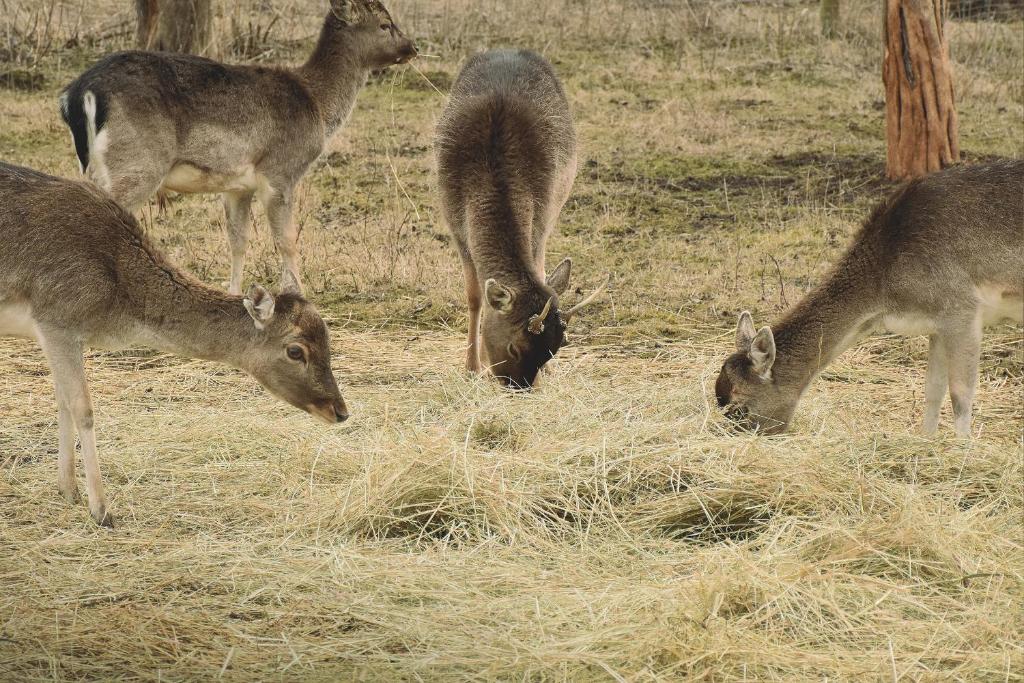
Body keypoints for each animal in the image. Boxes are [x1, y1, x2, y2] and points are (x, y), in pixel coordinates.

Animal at [0, 161, 350, 528]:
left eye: (328, 340)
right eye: (295, 351)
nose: (340, 411)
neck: (118, 300)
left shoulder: (58, 335)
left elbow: (62, 403)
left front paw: (68, 491)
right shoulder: (56, 320)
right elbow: (83, 409)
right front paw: (102, 510)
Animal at [58, 0, 417, 294]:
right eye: (385, 23)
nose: (412, 46)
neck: (316, 105)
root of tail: (77, 93)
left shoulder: (236, 186)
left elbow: (238, 240)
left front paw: (235, 293)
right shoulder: (280, 171)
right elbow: (286, 240)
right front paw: (298, 293)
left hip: (98, 165)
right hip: (138, 162)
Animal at [434, 49, 602, 389]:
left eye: (553, 349)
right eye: (513, 347)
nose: (520, 387)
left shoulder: (541, 217)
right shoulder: (455, 224)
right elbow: (474, 297)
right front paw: (472, 367)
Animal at [716, 159, 1019, 436]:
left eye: (739, 408)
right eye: (718, 395)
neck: (886, 296)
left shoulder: (961, 307)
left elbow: (961, 394)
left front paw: (962, 451)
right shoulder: (936, 324)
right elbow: (933, 389)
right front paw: (926, 443)